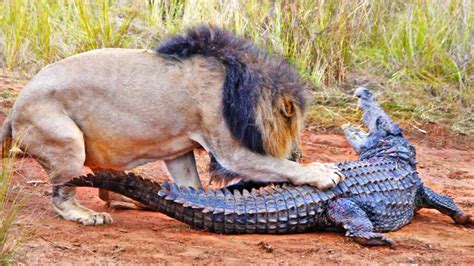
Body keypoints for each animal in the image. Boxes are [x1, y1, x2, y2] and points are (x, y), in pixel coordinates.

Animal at [0, 26, 340, 224]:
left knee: (105, 188)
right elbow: (278, 166)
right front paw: (321, 172)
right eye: (294, 130)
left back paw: (128, 200)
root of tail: (14, 110)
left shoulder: (179, 150)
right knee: (62, 195)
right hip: (66, 140)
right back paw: (85, 215)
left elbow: (192, 187)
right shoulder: (229, 148)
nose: (298, 152)